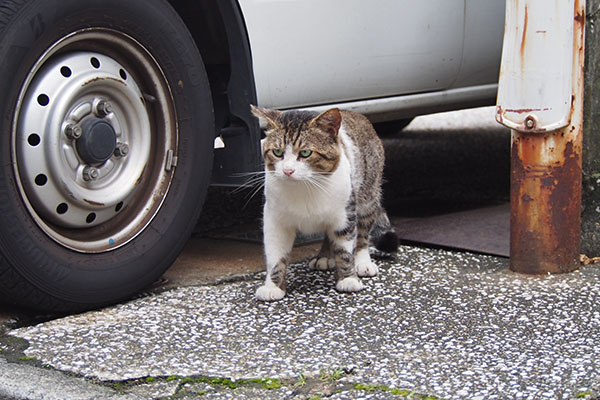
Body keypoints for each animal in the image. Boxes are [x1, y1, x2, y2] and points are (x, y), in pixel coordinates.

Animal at [250, 105, 398, 300]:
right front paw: (273, 286)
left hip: (367, 195)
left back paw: (362, 261)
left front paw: (348, 278)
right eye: (277, 152)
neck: (304, 188)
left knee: (363, 232)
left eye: (305, 153)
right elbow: (276, 254)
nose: (288, 170)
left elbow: (344, 248)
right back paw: (325, 256)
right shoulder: (276, 221)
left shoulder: (345, 215)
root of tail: (356, 114)